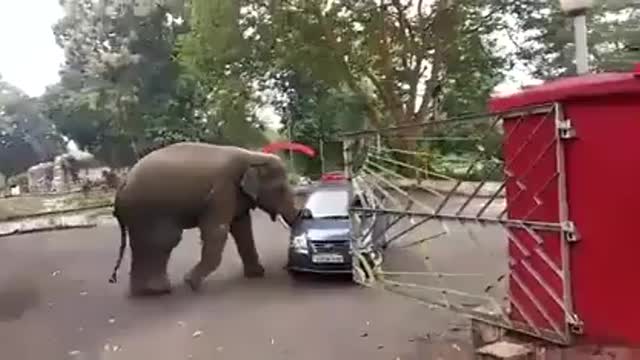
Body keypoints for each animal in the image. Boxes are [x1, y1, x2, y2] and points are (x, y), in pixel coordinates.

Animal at [107, 142, 300, 296]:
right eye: (281, 189)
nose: (285, 267)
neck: (252, 156)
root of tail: (122, 185)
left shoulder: (234, 195)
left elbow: (242, 228)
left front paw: (257, 274)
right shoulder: (222, 190)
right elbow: (217, 230)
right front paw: (190, 283)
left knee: (145, 244)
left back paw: (147, 291)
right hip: (148, 210)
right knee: (163, 240)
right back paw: (157, 291)